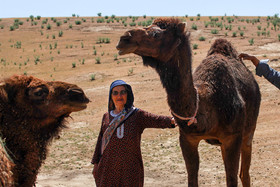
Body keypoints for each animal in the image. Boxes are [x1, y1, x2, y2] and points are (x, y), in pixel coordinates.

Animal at [116, 17, 260, 187]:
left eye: (156, 34)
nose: (124, 39)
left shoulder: (233, 137)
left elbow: (232, 179)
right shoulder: (187, 138)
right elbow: (192, 178)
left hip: (248, 132)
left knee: (244, 173)